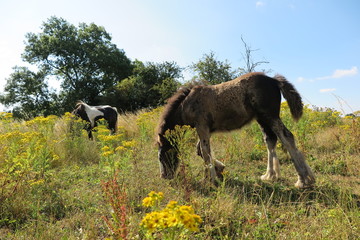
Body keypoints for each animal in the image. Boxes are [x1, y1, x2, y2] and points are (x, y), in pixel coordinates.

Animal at [157, 72, 316, 188]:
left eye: (162, 156)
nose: (164, 176)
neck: (187, 104)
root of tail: (273, 80)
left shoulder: (201, 126)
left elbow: (205, 151)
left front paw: (211, 180)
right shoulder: (207, 129)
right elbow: (200, 151)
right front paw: (218, 171)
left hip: (270, 116)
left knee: (287, 136)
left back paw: (303, 180)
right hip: (262, 118)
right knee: (270, 140)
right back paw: (271, 176)